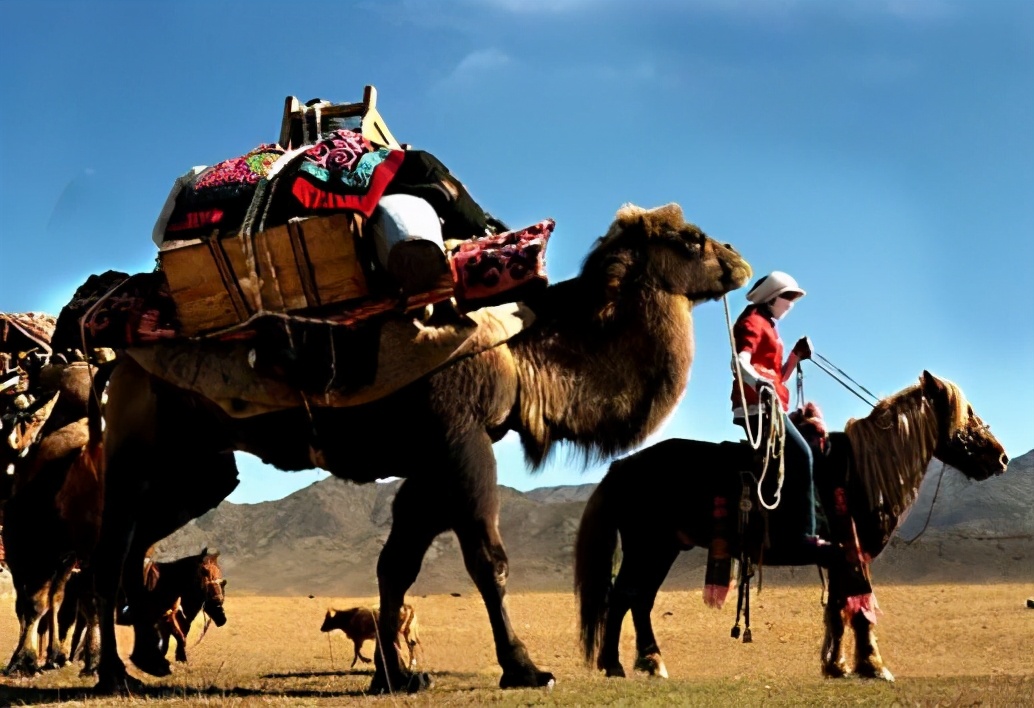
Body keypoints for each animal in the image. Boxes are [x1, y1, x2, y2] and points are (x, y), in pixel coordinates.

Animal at [86, 201, 752, 694]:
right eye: (692, 240)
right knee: (110, 548)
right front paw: (525, 668)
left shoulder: (431, 463)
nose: (740, 262)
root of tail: (119, 356)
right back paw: (115, 675)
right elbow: (487, 560)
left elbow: (396, 565)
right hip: (138, 450)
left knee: (140, 544)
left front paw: (396, 675)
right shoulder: (462, 440)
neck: (520, 354)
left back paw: (149, 661)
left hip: (198, 466)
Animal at [574, 372, 1009, 682]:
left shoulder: (839, 556)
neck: (863, 470)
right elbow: (860, 610)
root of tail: (624, 466)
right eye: (966, 414)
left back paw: (642, 662)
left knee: (637, 599)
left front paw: (836, 665)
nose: (1001, 457)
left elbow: (838, 608)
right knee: (626, 596)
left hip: (662, 548)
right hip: (648, 546)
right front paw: (874, 667)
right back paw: (623, 664)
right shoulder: (855, 552)